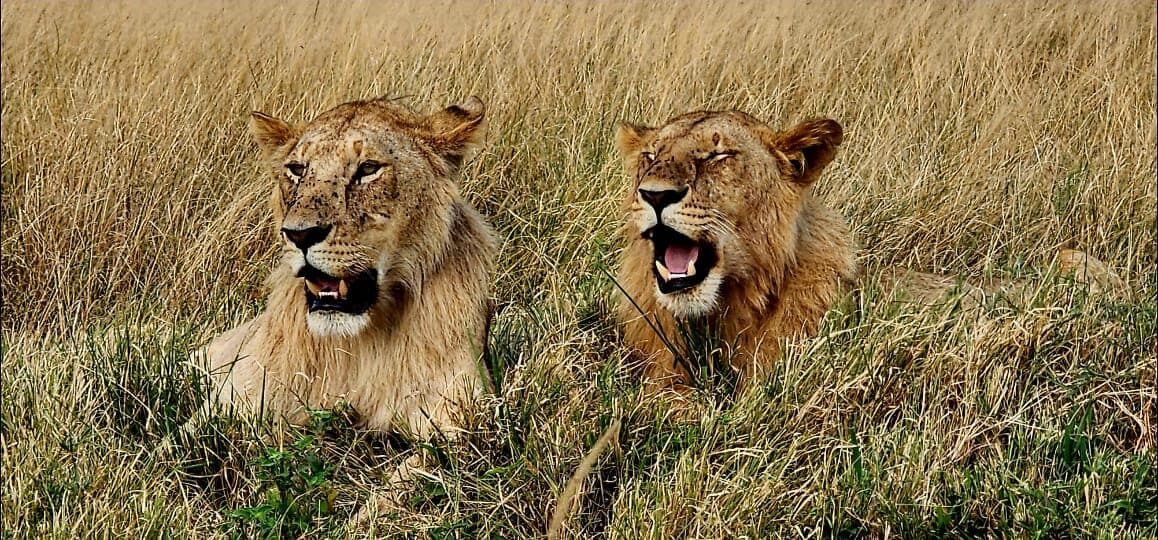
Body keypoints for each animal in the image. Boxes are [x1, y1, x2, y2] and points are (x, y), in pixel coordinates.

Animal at [194, 96, 496, 450]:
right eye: (297, 170)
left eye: (368, 169)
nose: (299, 235)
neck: (356, 346)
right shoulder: (236, 396)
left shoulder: (463, 417)